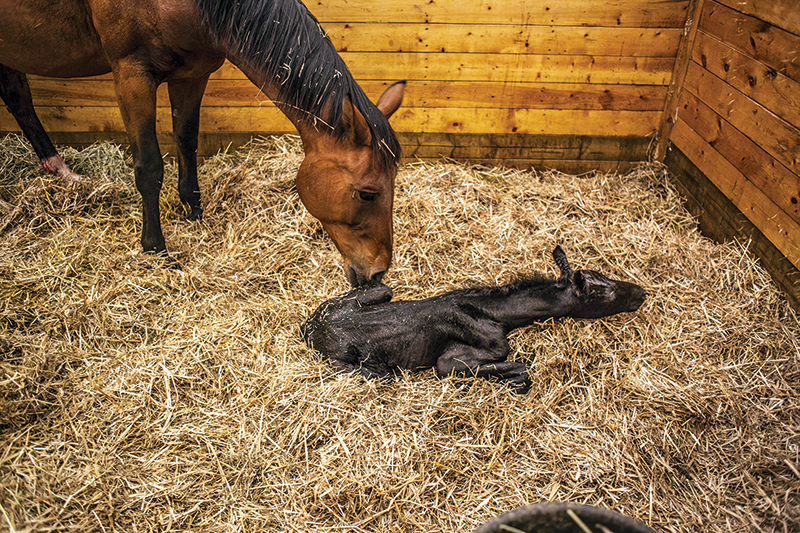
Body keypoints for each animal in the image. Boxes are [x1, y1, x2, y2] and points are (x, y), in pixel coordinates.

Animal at [0, 0, 404, 287]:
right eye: (367, 193)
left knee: (17, 96)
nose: (378, 273)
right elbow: (149, 165)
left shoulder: (192, 74)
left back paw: (61, 171)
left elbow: (186, 140)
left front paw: (193, 208)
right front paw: (156, 248)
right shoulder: (132, 76)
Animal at [302, 246, 647, 393]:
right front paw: (513, 380)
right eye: (601, 293)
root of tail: (311, 328)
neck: (499, 314)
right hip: (365, 364)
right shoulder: (448, 362)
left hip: (380, 290)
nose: (641, 292)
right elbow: (521, 369)